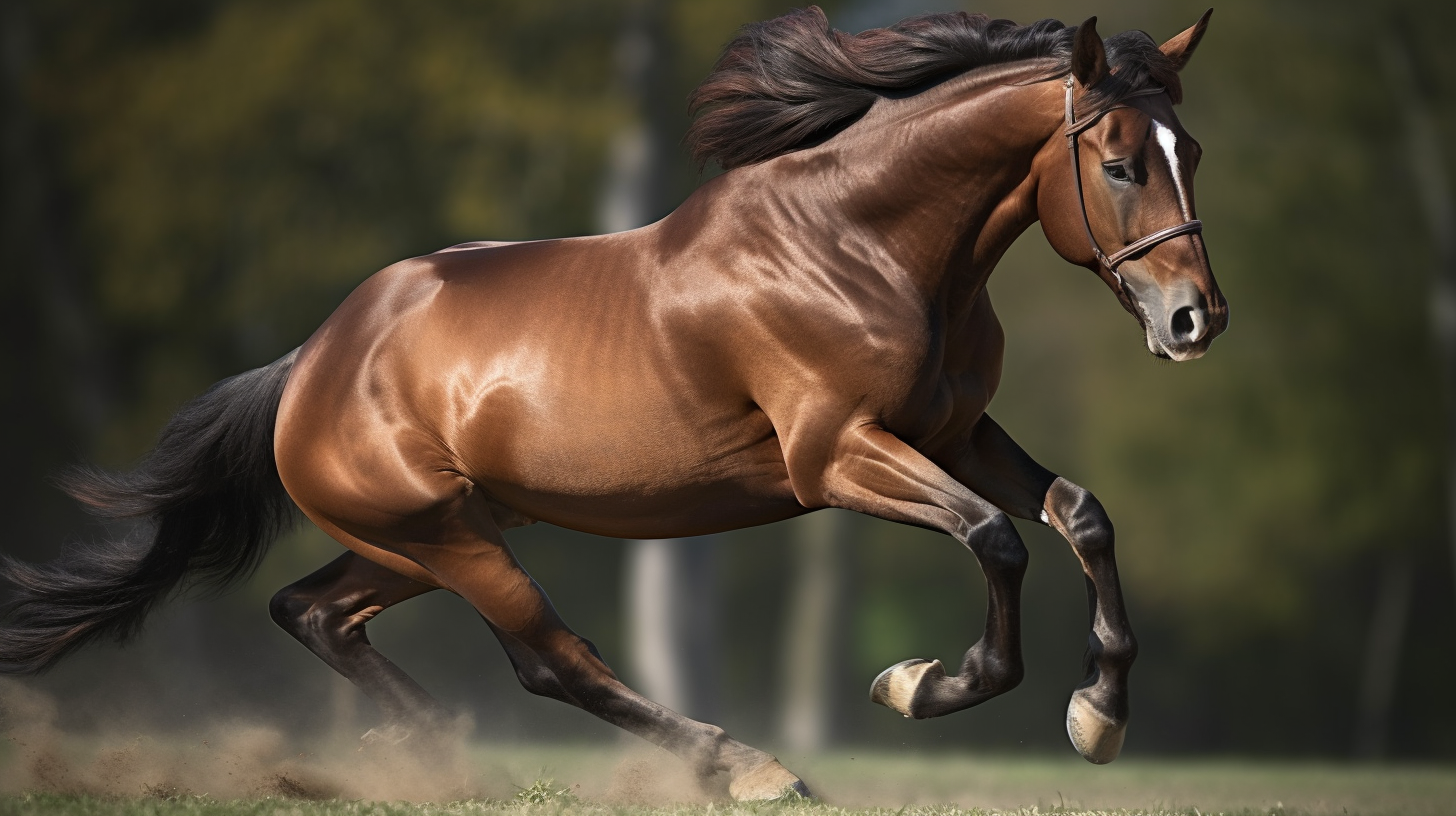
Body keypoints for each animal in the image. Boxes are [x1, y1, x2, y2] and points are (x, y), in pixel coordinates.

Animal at [0, 4, 1228, 798]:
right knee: (551, 659)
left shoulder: (956, 433)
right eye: (1119, 162)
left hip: (423, 538)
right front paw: (921, 686)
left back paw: (427, 751)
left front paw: (1099, 717)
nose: (1195, 321)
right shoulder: (834, 456)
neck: (861, 245)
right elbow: (993, 540)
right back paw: (743, 766)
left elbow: (1077, 515)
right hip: (450, 540)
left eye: (1194, 150)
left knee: (311, 611)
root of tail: (308, 363)